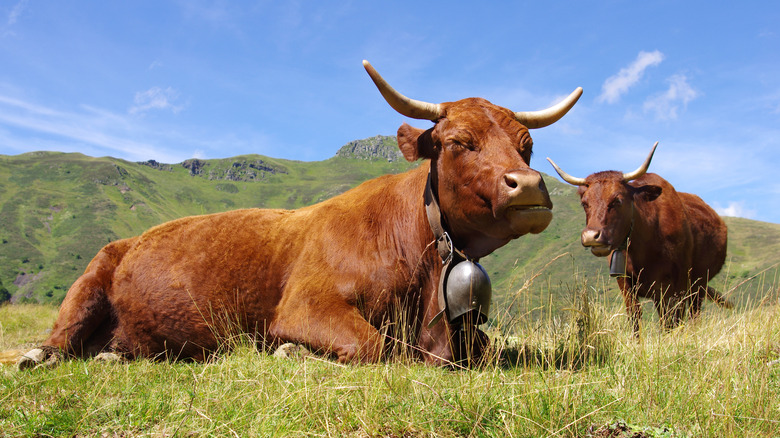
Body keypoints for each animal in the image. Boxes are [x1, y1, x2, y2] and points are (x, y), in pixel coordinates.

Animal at [18, 60, 580, 370]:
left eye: (528, 147)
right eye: (460, 141)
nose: (529, 184)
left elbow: (484, 347)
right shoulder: (305, 305)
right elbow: (375, 347)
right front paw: (291, 352)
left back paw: (113, 354)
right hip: (89, 279)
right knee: (60, 340)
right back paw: (37, 356)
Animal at [548, 143, 732, 332]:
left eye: (617, 200)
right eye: (585, 203)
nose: (591, 236)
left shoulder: (678, 282)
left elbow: (674, 322)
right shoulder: (627, 285)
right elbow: (635, 319)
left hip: (698, 283)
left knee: (693, 315)